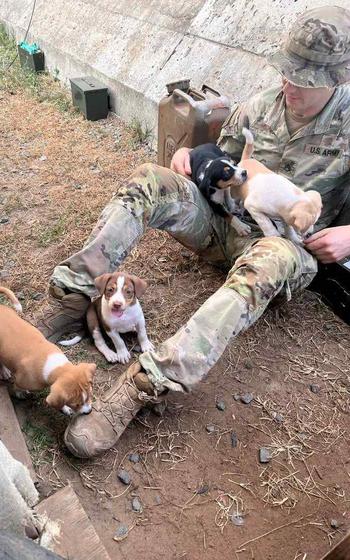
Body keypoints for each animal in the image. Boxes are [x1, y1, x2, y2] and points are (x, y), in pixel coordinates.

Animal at [0, 288, 95, 416]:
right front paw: (20, 394)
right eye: (76, 405)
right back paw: (4, 372)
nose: (89, 412)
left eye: (90, 394)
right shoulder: (21, 381)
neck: (54, 365)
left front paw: (65, 408)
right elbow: (17, 387)